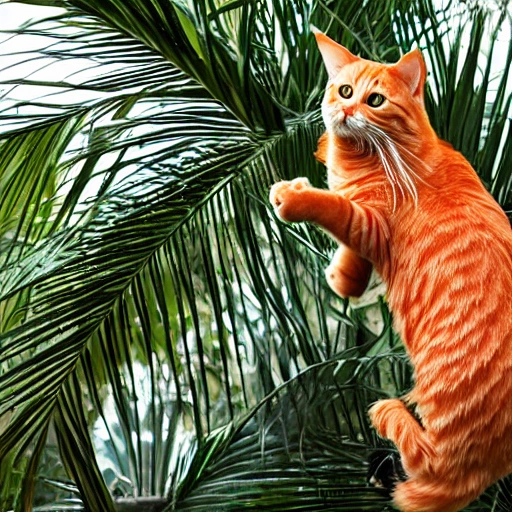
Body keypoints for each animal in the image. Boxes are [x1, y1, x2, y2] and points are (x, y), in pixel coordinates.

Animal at [270, 31, 512, 512]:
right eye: (345, 91)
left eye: (375, 100)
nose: (346, 111)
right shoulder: (365, 230)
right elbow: (352, 252)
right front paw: (345, 279)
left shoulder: (371, 223)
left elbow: (335, 210)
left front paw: (296, 197)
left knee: (423, 462)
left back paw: (388, 424)